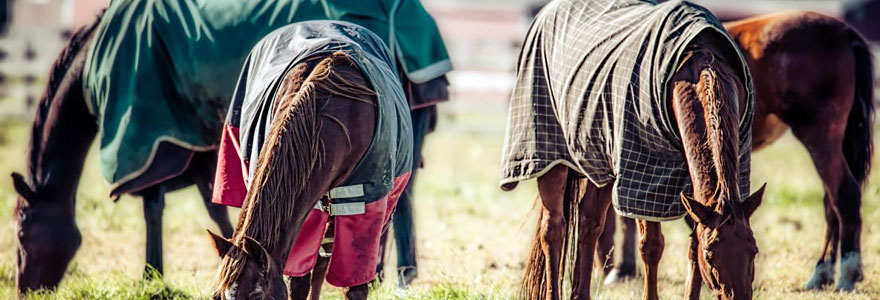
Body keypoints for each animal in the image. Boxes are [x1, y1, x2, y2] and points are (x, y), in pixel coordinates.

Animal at [208, 21, 410, 300]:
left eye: (256, 296)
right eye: (216, 296)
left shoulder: (365, 207)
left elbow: (354, 283)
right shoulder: (308, 211)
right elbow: (299, 279)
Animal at [506, 0, 768, 300]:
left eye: (754, 250)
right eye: (711, 256)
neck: (699, 63)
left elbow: (692, 246)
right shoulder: (645, 180)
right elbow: (651, 246)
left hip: (599, 162)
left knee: (589, 225)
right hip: (549, 156)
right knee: (553, 229)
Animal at [600, 10, 872, 292]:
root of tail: (845, 32)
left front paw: (620, 270)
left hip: (819, 136)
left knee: (844, 195)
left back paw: (847, 275)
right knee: (831, 203)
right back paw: (822, 273)